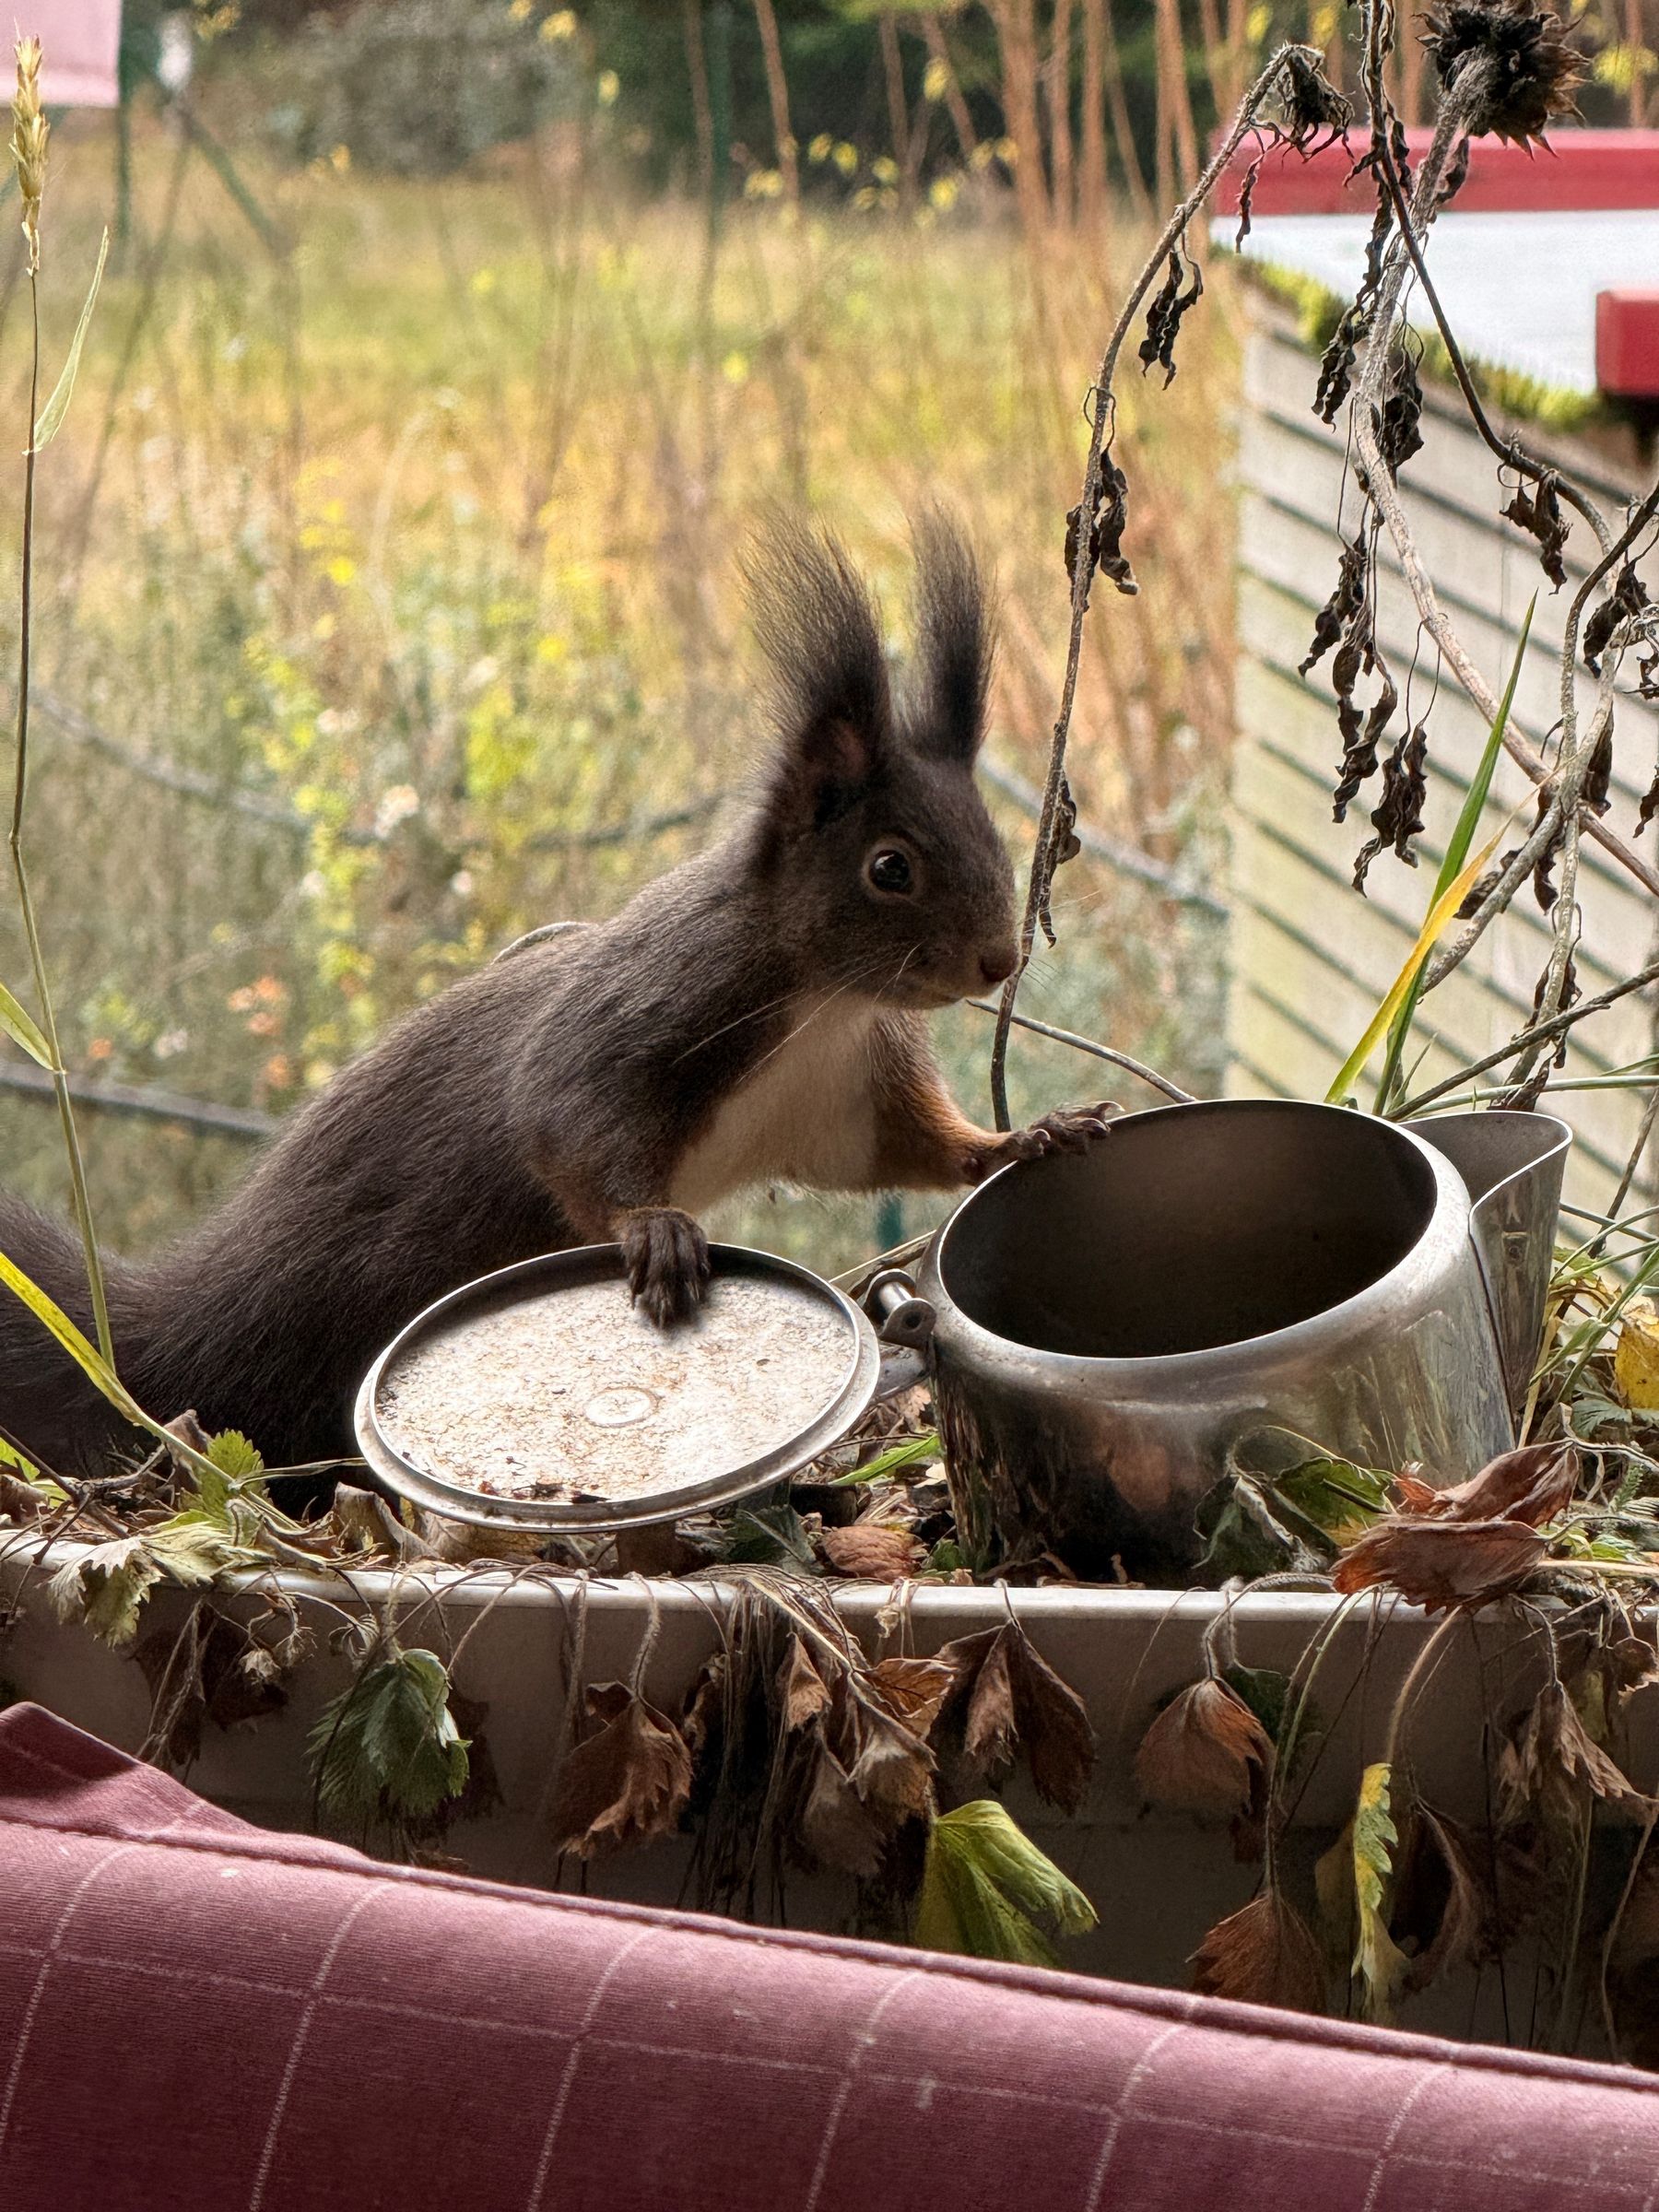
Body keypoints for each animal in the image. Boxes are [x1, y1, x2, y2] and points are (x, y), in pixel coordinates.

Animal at [0, 515, 1113, 1477]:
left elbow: (910, 1150)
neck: (821, 1003)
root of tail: (187, 1323)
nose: (998, 961)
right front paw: (654, 1228)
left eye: (990, 834)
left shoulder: (840, 1094)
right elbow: (566, 1124)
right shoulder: (643, 1015)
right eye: (890, 868)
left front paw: (1024, 1138)